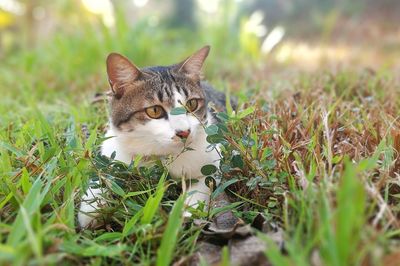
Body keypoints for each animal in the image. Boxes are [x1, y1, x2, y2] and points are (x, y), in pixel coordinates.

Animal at [78, 45, 230, 229]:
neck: (160, 156)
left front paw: (182, 213)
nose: (184, 132)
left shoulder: (213, 163)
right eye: (155, 111)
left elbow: (202, 185)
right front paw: (91, 210)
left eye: (191, 104)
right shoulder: (112, 154)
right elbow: (100, 177)